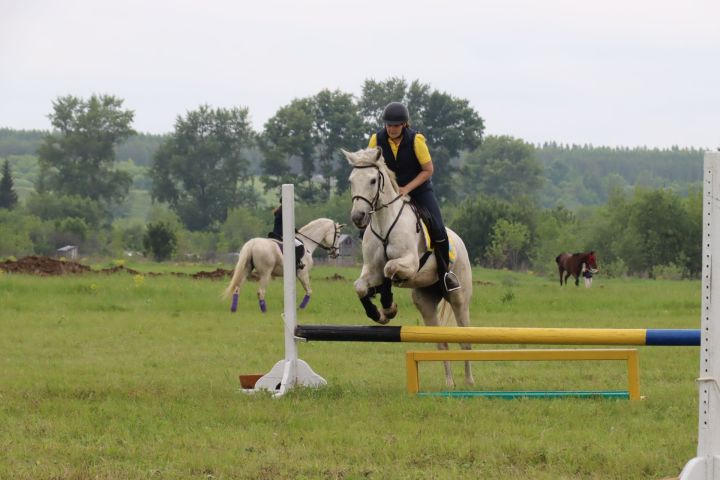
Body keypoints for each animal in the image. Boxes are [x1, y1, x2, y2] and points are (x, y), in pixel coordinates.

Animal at [342, 147, 476, 390]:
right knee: (441, 343)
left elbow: (388, 270)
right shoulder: (370, 269)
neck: (384, 223)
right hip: (425, 301)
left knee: (465, 340)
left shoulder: (410, 264)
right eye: (351, 181)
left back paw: (469, 382)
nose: (358, 217)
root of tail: (459, 241)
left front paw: (388, 307)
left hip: (459, 298)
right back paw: (449, 383)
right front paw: (378, 312)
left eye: (373, 180)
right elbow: (361, 287)